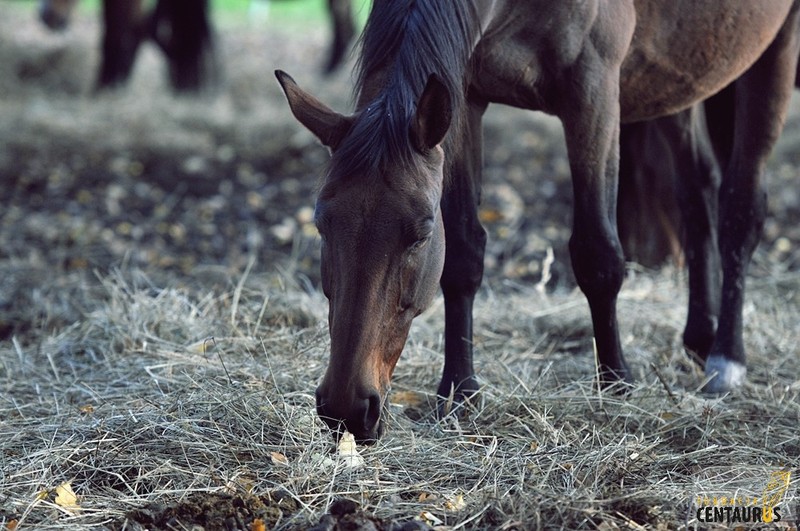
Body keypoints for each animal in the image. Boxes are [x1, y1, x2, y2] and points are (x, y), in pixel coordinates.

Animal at [276, 0, 800, 444]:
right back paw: (698, 337)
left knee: (740, 210)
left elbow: (598, 255)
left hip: (774, 53)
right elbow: (464, 255)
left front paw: (616, 382)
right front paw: (459, 392)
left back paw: (726, 358)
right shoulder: (465, 98)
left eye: (421, 232)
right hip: (681, 77)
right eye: (321, 224)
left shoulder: (593, 95)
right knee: (697, 193)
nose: (345, 408)